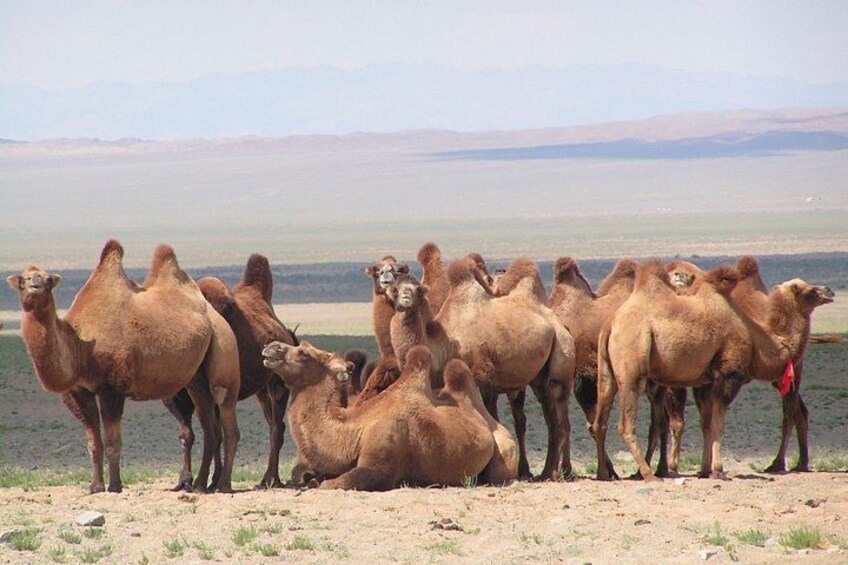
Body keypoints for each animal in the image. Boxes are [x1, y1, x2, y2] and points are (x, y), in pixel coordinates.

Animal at [8, 240, 240, 493]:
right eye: (23, 279)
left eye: (48, 279)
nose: (35, 284)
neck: (81, 346)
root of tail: (213, 312)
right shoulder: (81, 390)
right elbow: (93, 443)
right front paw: (96, 486)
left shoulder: (113, 388)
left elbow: (112, 442)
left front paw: (115, 486)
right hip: (195, 377)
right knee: (210, 426)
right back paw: (199, 484)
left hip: (224, 347)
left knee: (226, 417)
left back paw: (222, 484)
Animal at [163, 254, 297, 490]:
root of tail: (285, 332)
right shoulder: (178, 398)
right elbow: (188, 435)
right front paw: (187, 480)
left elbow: (212, 433)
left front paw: (205, 481)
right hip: (260, 390)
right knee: (271, 424)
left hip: (277, 384)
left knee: (276, 429)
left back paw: (271, 479)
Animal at [262, 342, 517, 489]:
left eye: (303, 352)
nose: (271, 346)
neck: (354, 430)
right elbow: (316, 478)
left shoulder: (379, 464)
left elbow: (331, 485)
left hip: (504, 452)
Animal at [592, 259, 833, 481]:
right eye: (810, 290)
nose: (829, 291)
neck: (757, 338)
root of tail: (611, 323)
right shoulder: (729, 375)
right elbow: (718, 425)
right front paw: (718, 471)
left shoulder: (706, 381)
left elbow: (706, 424)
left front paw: (705, 470)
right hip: (633, 369)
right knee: (625, 424)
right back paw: (648, 474)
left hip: (607, 374)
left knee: (599, 421)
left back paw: (605, 473)